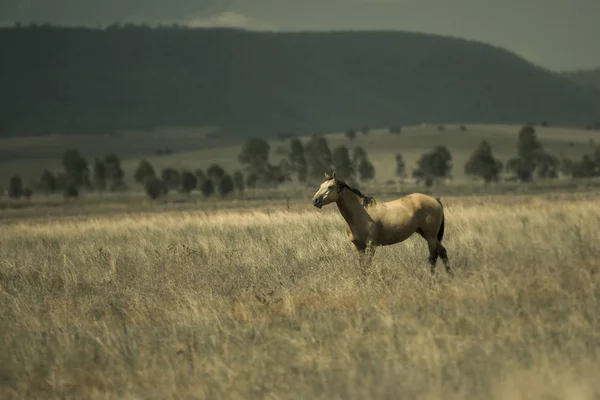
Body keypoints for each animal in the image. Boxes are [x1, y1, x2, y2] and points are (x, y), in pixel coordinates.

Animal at [312, 170, 452, 276]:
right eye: (320, 186)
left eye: (330, 187)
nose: (315, 200)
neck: (360, 212)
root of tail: (435, 200)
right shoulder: (358, 246)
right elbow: (362, 266)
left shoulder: (371, 245)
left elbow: (368, 265)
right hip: (426, 234)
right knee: (442, 252)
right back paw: (450, 276)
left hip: (430, 236)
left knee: (433, 256)